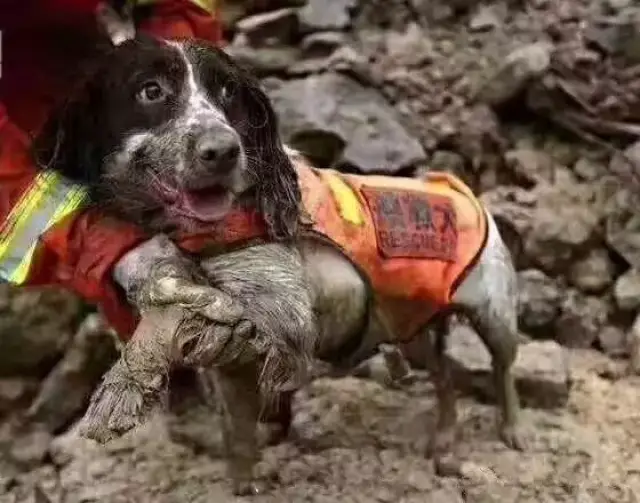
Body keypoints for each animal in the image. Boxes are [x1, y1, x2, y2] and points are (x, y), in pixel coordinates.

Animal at [32, 36, 524, 496]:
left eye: (228, 90)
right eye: (150, 90)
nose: (223, 150)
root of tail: (457, 187)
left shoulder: (280, 308)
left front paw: (119, 392)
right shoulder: (230, 360)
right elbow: (237, 434)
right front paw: (241, 484)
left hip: (495, 312)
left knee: (502, 370)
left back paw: (512, 431)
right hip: (414, 326)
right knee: (444, 378)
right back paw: (444, 439)